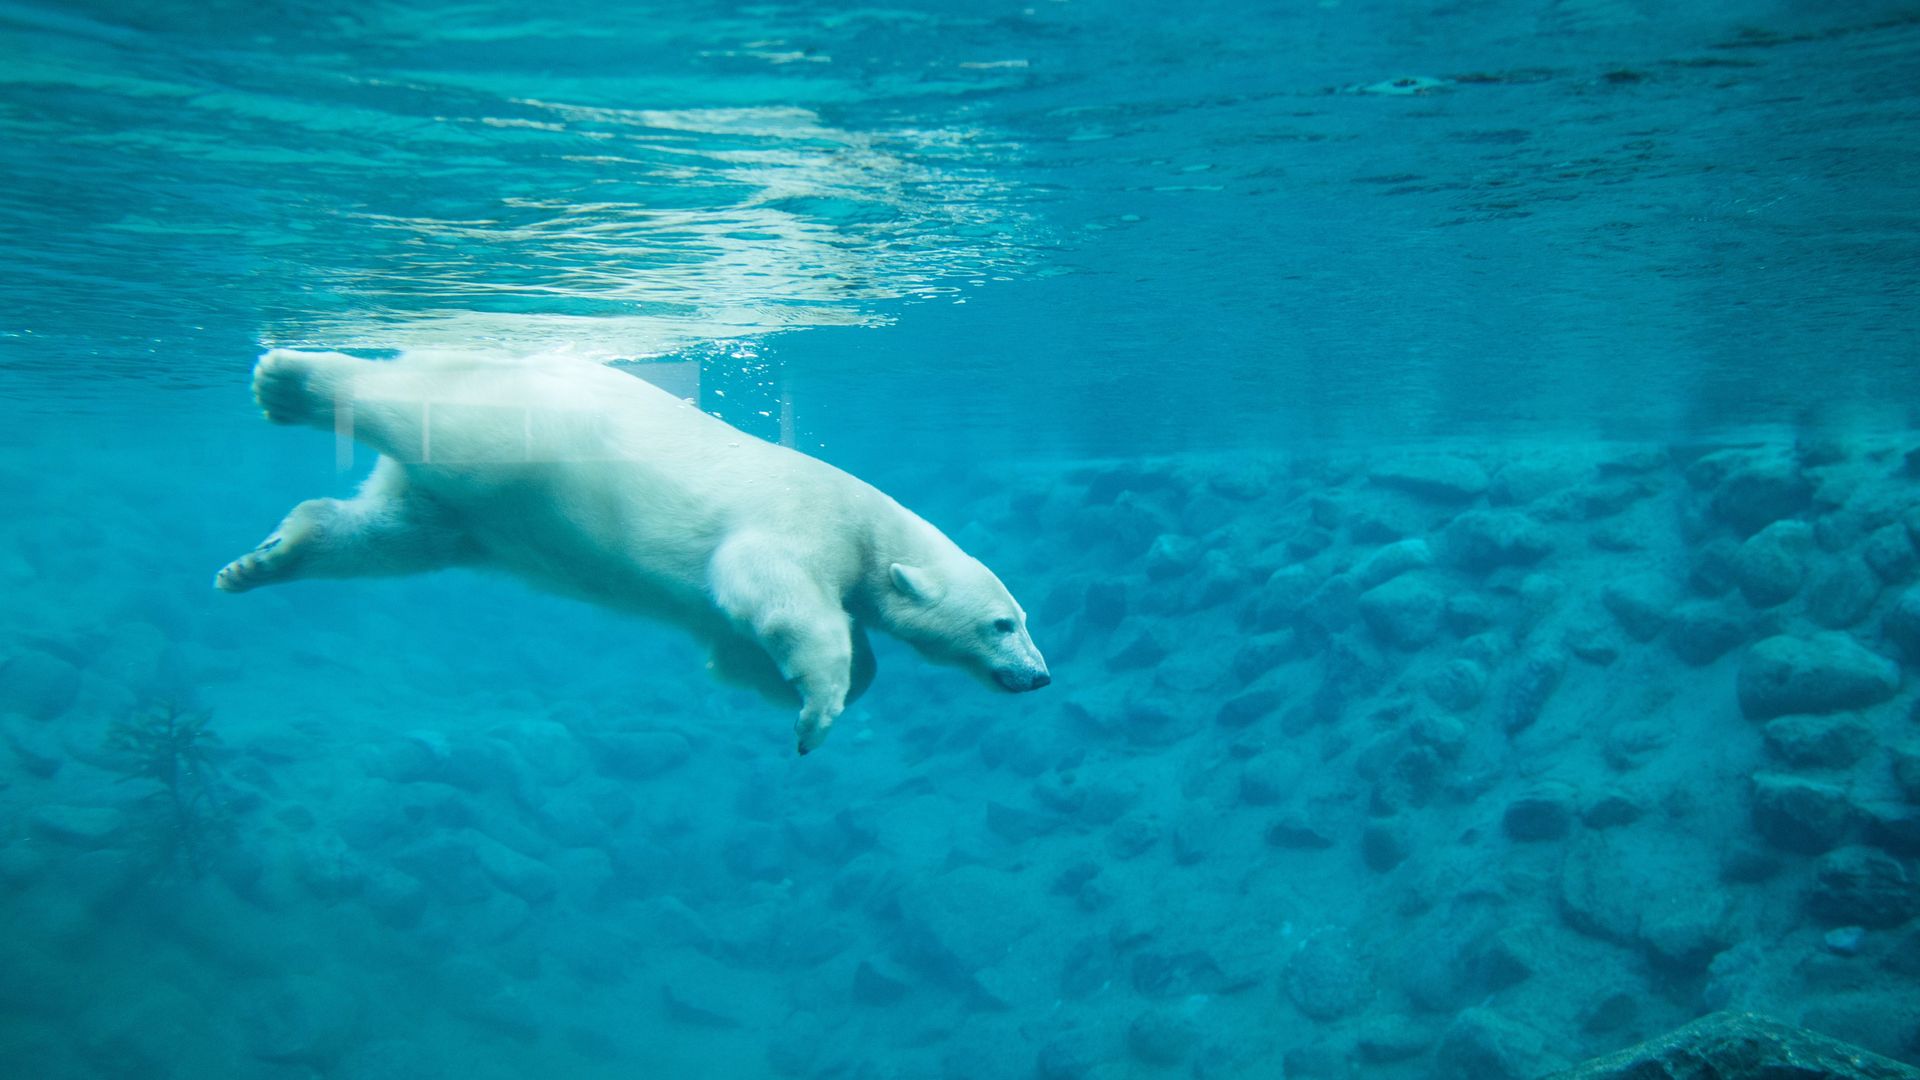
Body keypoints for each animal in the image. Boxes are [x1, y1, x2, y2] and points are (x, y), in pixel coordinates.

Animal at [220, 349, 1052, 753]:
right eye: (1003, 624)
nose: (1040, 677)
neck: (868, 524)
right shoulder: (796, 524)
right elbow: (779, 601)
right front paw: (816, 713)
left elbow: (742, 638)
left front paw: (786, 686)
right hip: (521, 434)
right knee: (418, 404)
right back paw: (288, 380)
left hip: (464, 512)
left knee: (389, 534)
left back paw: (265, 559)